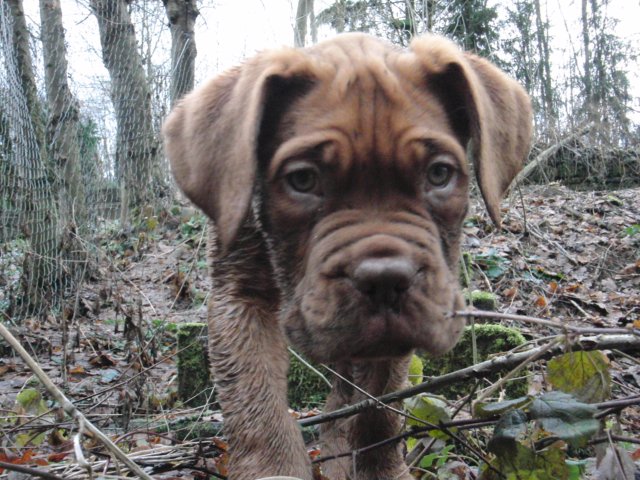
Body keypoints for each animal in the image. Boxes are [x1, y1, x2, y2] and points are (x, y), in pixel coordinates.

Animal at [162, 34, 532, 480]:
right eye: (302, 179)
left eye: (439, 174)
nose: (386, 280)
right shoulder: (239, 298)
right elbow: (257, 404)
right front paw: (274, 467)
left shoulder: (396, 335)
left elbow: (380, 408)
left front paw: (381, 470)